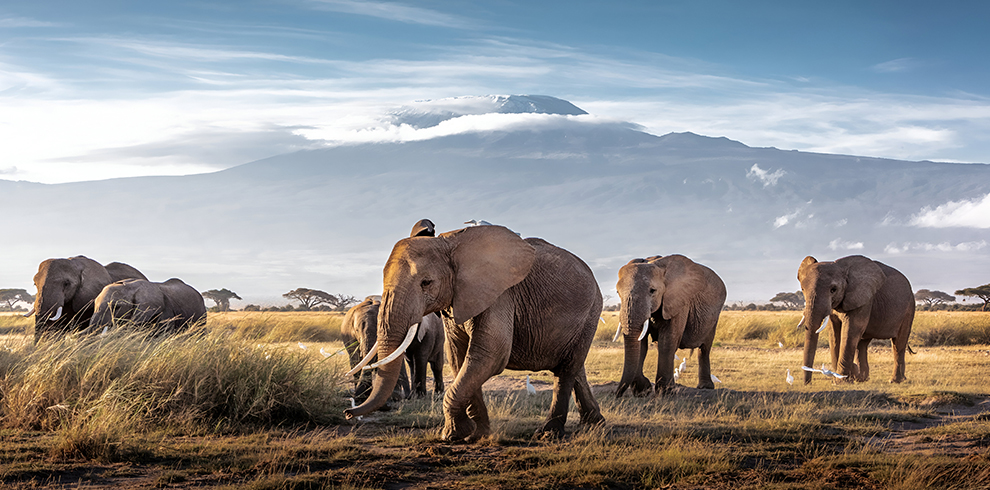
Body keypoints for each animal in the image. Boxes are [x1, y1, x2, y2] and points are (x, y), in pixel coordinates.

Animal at [346, 224, 604, 442]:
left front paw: (453, 436)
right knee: (574, 366)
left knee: (566, 370)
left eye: (426, 283)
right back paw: (594, 423)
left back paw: (549, 434)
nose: (348, 412)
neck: (448, 243)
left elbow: (490, 355)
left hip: (592, 310)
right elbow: (460, 356)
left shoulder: (500, 295)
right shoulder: (456, 300)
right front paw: (477, 434)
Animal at [612, 255, 728, 396]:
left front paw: (665, 391)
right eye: (618, 292)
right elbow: (642, 344)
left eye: (652, 291)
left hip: (714, 316)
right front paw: (643, 391)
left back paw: (705, 387)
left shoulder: (679, 302)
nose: (616, 395)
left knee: (704, 348)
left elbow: (668, 341)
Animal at [800, 255, 916, 384]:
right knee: (862, 344)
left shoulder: (864, 300)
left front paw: (841, 381)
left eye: (833, 289)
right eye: (803, 289)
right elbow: (834, 334)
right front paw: (844, 378)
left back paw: (894, 380)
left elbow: (851, 331)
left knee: (898, 343)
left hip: (909, 308)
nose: (808, 383)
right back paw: (861, 378)